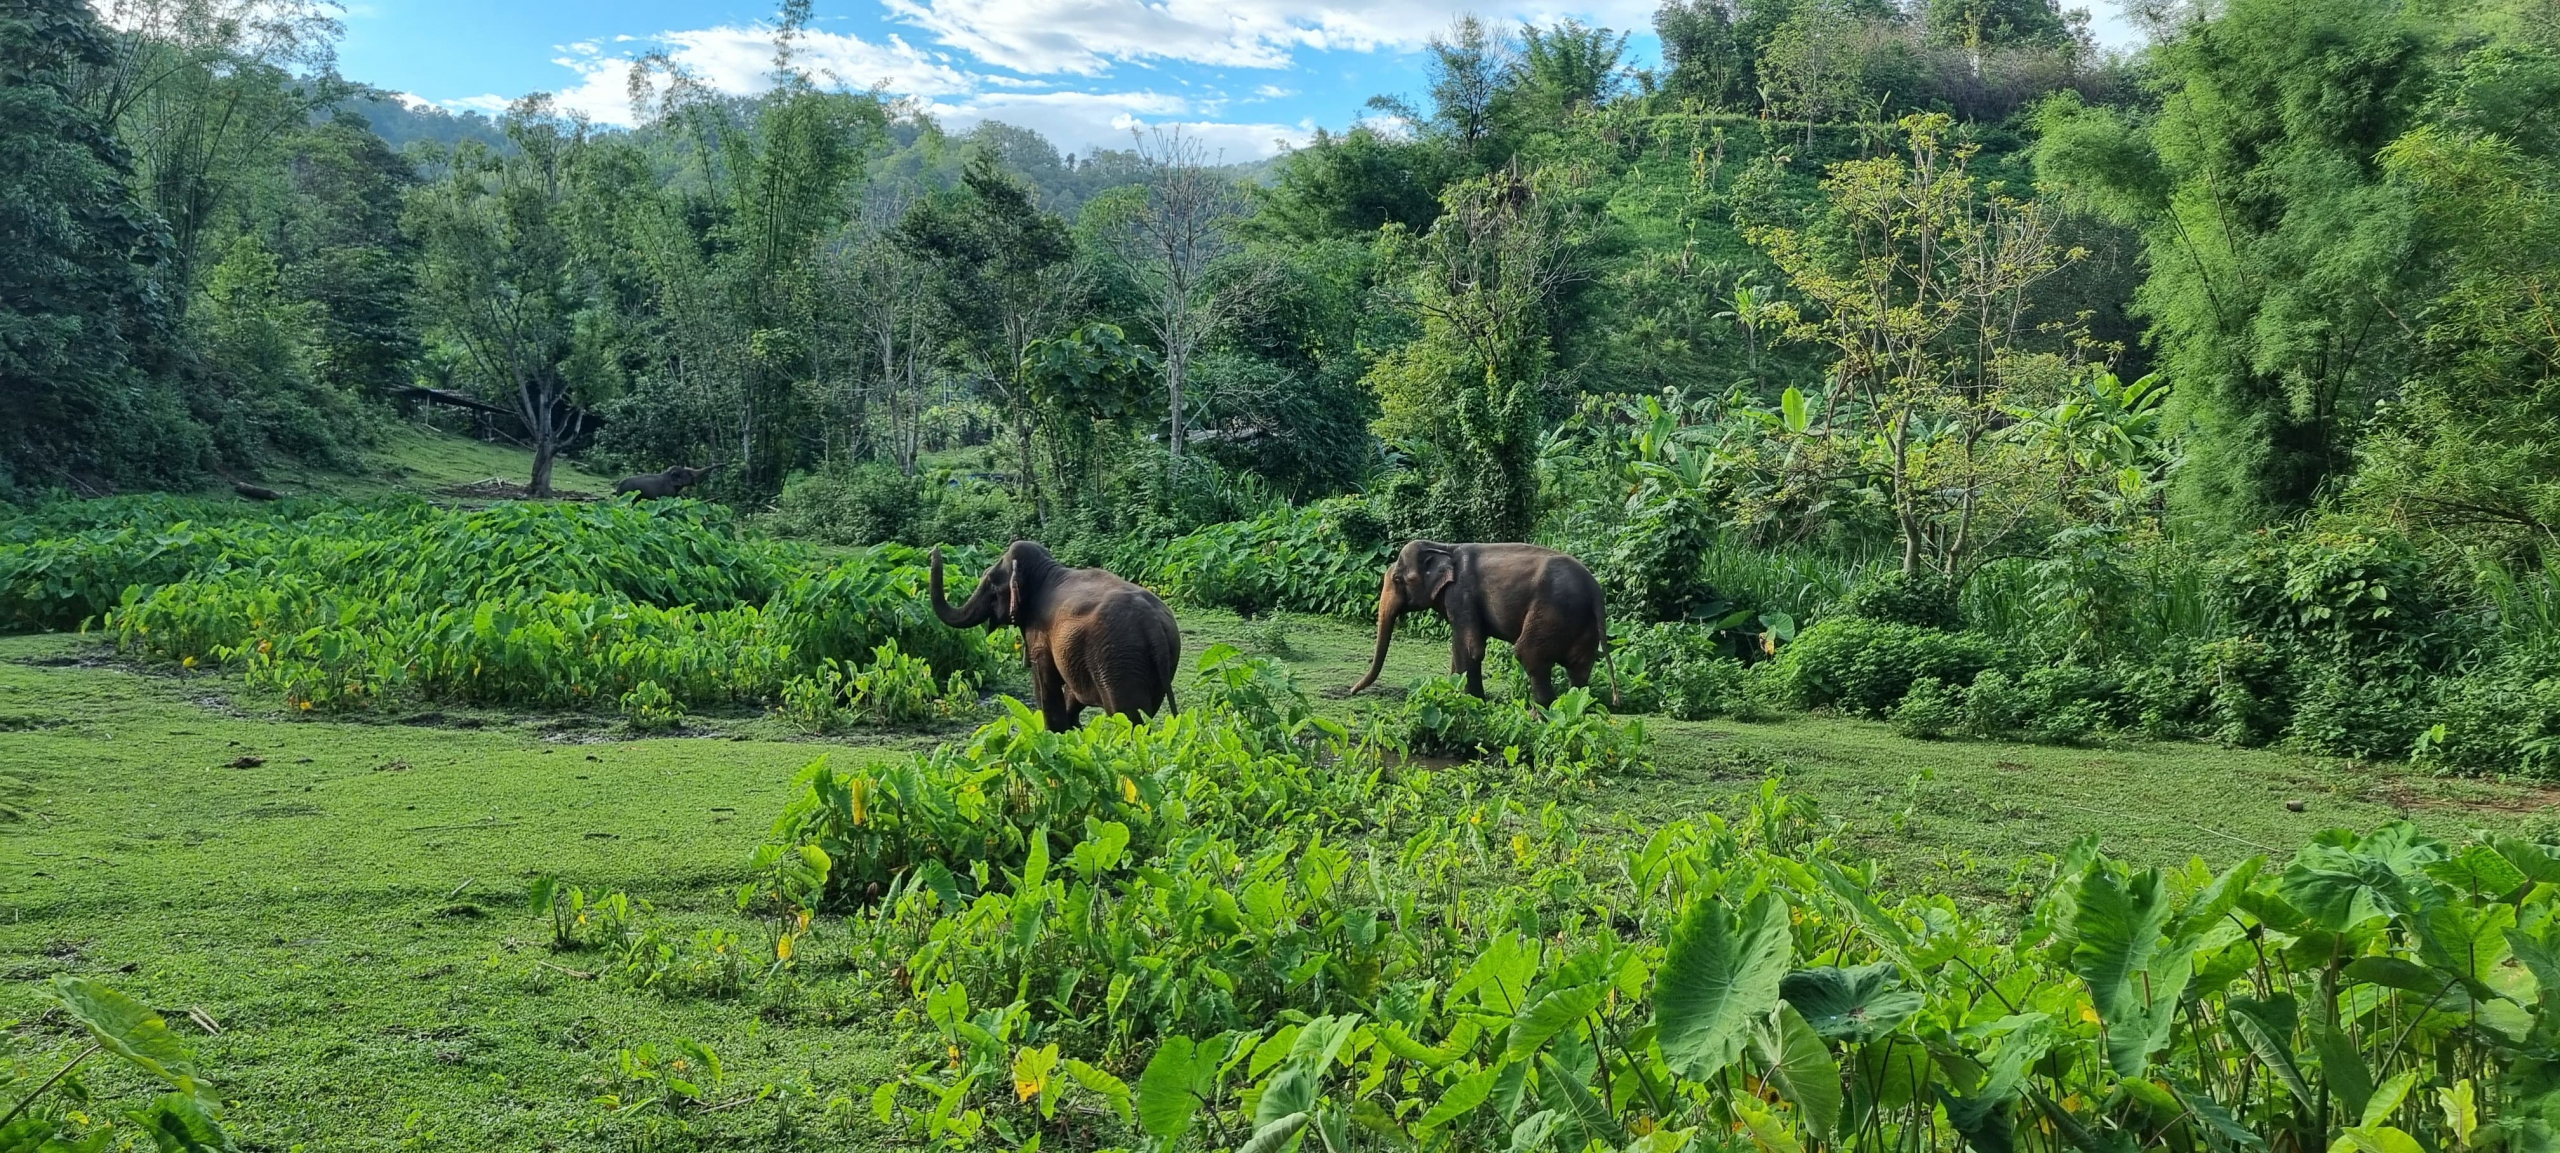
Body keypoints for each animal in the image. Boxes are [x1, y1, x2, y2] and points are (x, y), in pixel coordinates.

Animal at [930, 541, 1182, 730]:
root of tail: (1151, 623)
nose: (934, 550)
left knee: (1129, 717)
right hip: (1159, 661)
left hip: (1118, 660)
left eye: (991, 581)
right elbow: (1071, 689)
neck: (1047, 569)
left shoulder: (1039, 633)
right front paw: (1073, 730)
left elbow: (1045, 683)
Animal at [1349, 540, 1618, 707]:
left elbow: (1471, 647)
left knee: (1529, 655)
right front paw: (1453, 692)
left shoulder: (1462, 594)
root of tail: (1595, 589)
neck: (1443, 546)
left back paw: (1538, 714)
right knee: (1579, 668)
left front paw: (1472, 701)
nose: (1351, 691)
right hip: (1582, 623)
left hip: (1552, 611)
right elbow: (1460, 648)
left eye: (1397, 579)